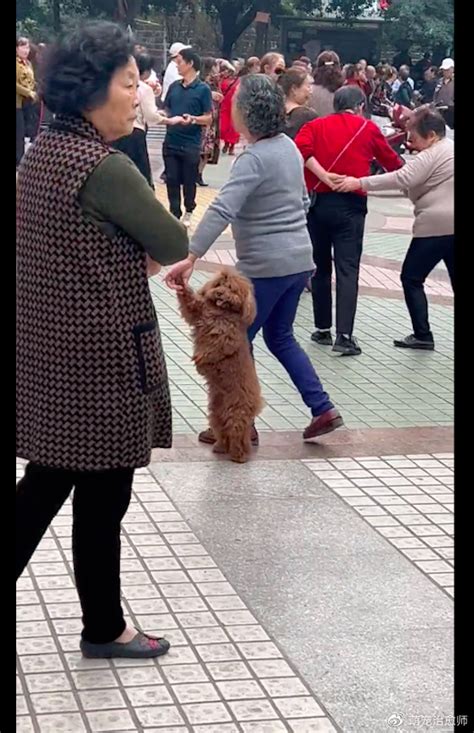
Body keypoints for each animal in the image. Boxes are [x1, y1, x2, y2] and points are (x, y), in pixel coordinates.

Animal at [178, 268, 264, 464]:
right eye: (218, 285)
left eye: (231, 289)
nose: (219, 293)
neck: (220, 312)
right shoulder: (198, 311)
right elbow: (189, 302)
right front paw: (180, 282)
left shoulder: (226, 336)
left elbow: (215, 347)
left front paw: (201, 360)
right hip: (216, 413)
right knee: (224, 433)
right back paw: (220, 447)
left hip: (236, 414)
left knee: (238, 435)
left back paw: (239, 456)